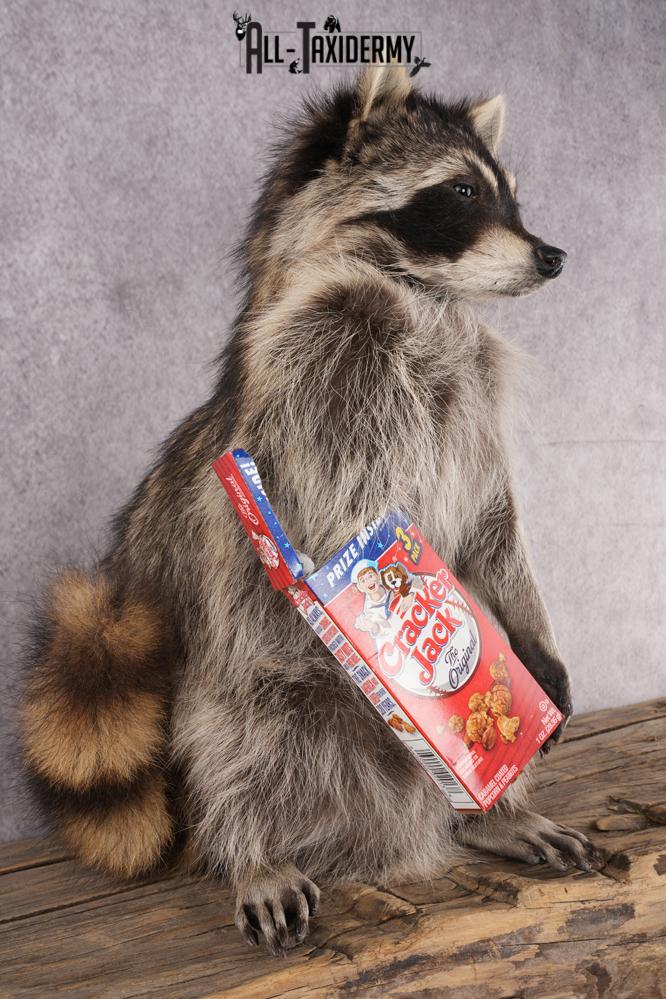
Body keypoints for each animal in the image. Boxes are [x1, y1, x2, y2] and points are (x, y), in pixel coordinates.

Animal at [21, 65, 602, 956]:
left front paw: (529, 640)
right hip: (236, 663)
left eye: (508, 194)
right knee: (236, 731)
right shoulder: (316, 384)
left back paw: (491, 808)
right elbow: (344, 520)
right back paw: (250, 847)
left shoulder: (469, 401)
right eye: (461, 191)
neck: (422, 295)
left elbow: (494, 523)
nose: (553, 255)